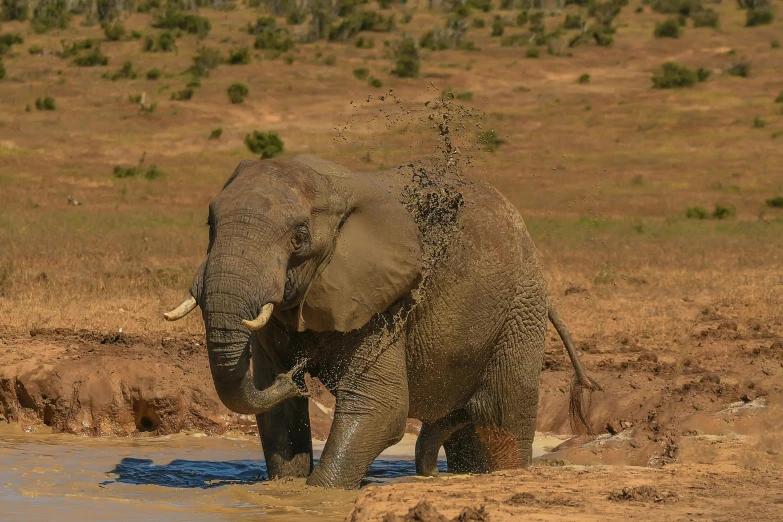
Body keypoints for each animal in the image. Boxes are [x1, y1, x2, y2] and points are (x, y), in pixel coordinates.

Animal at [162, 153, 596, 488]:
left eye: (299, 237)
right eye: (210, 225)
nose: (296, 378)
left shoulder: (383, 302)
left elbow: (380, 409)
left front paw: (320, 492)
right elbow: (278, 417)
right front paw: (284, 488)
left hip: (520, 310)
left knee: (500, 412)